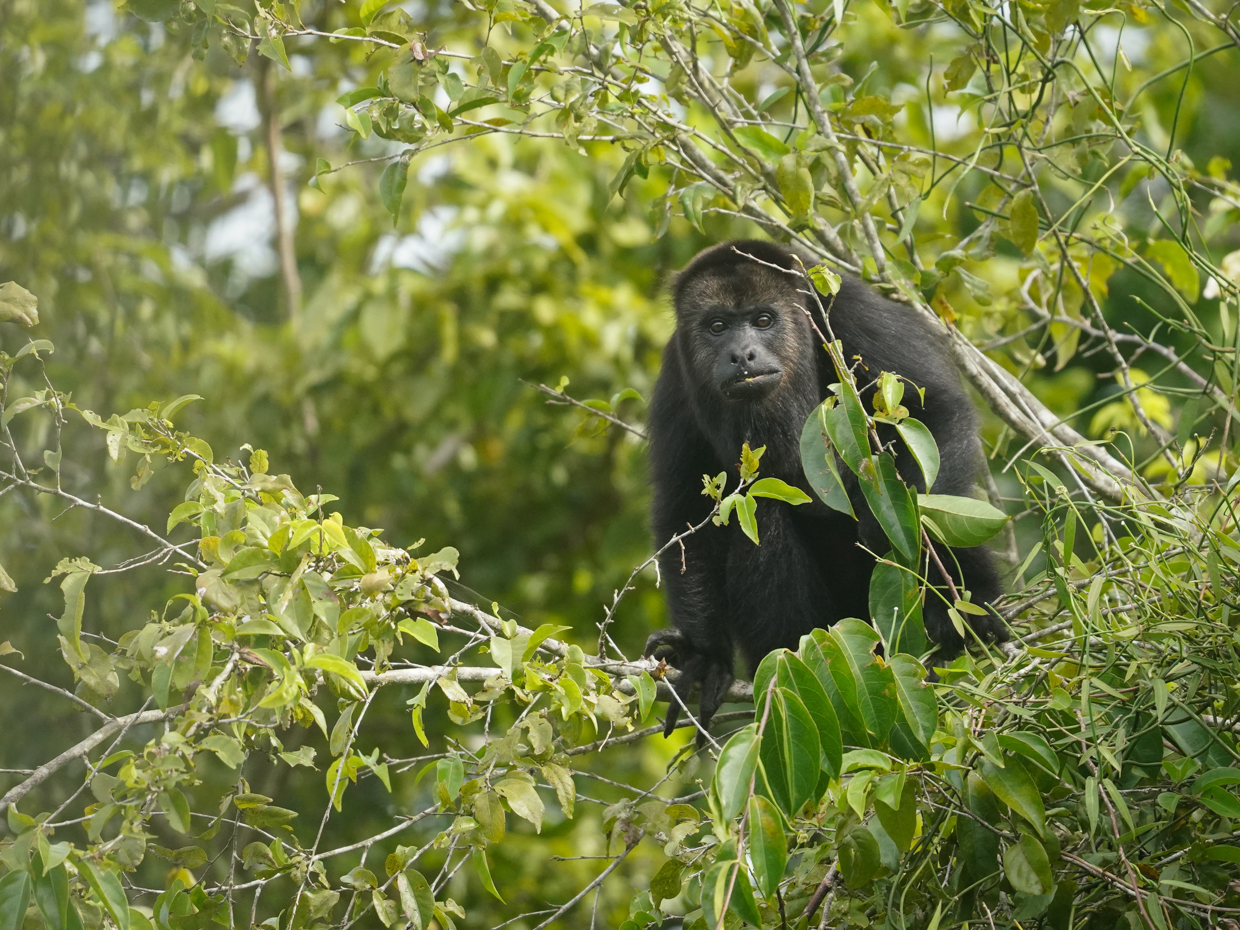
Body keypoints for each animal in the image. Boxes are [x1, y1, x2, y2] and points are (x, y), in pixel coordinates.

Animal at [642, 239, 1006, 741]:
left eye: (763, 320)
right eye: (716, 327)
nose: (741, 354)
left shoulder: (853, 314)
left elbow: (935, 414)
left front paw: (905, 560)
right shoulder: (677, 375)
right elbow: (684, 507)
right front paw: (704, 656)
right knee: (762, 511)